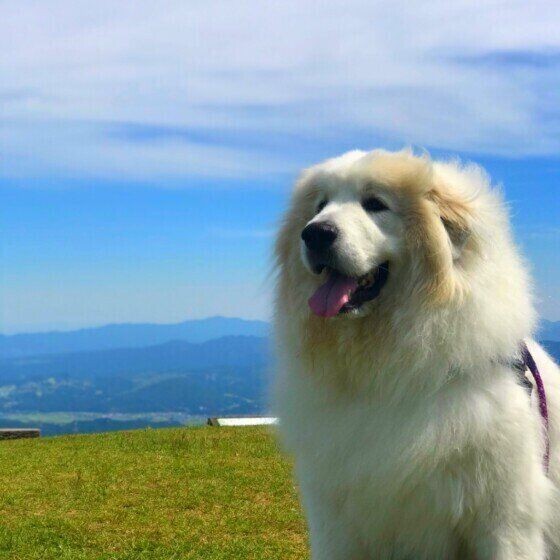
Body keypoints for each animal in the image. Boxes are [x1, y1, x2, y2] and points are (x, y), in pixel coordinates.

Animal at [274, 150, 560, 560]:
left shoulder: (504, 519)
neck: (389, 368)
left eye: (375, 204)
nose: (314, 233)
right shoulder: (335, 519)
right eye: (320, 205)